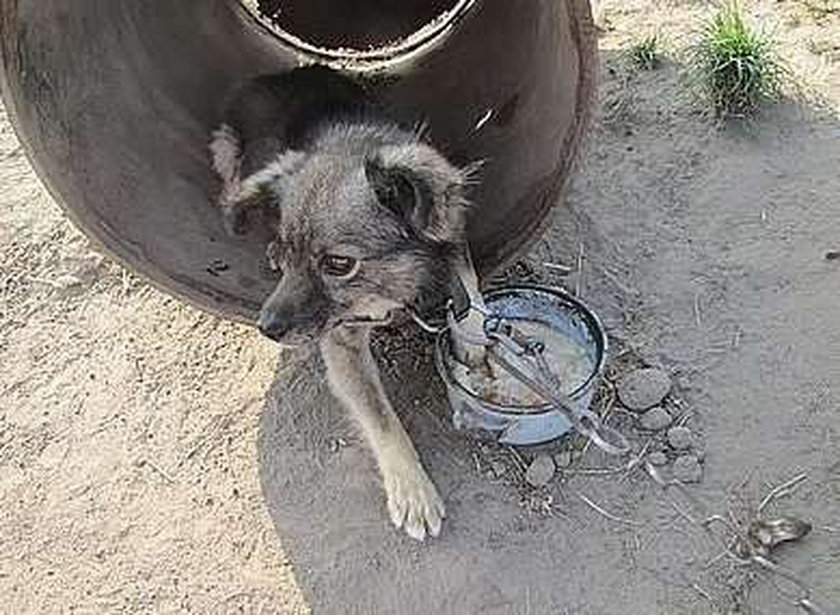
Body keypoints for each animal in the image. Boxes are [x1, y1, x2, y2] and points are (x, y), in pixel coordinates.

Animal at [208, 65, 476, 540]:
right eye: (290, 250)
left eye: (338, 264)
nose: (266, 327)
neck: (390, 285)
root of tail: (272, 76)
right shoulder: (341, 342)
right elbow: (382, 418)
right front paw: (412, 490)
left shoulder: (455, 247)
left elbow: (476, 304)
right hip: (230, 151)